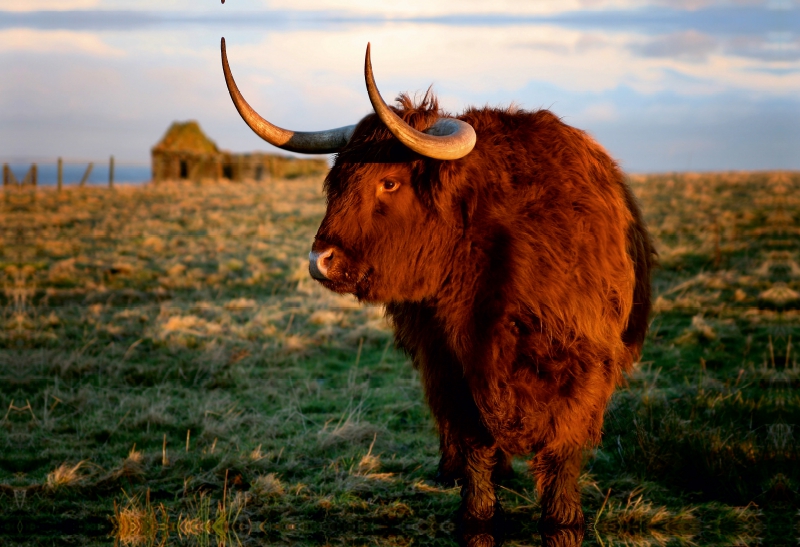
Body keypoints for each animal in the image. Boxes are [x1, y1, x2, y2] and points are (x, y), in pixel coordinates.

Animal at [219, 37, 648, 532]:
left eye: (389, 182)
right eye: (335, 182)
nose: (320, 261)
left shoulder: (581, 366)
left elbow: (561, 455)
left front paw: (564, 519)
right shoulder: (449, 365)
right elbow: (474, 445)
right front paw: (476, 511)